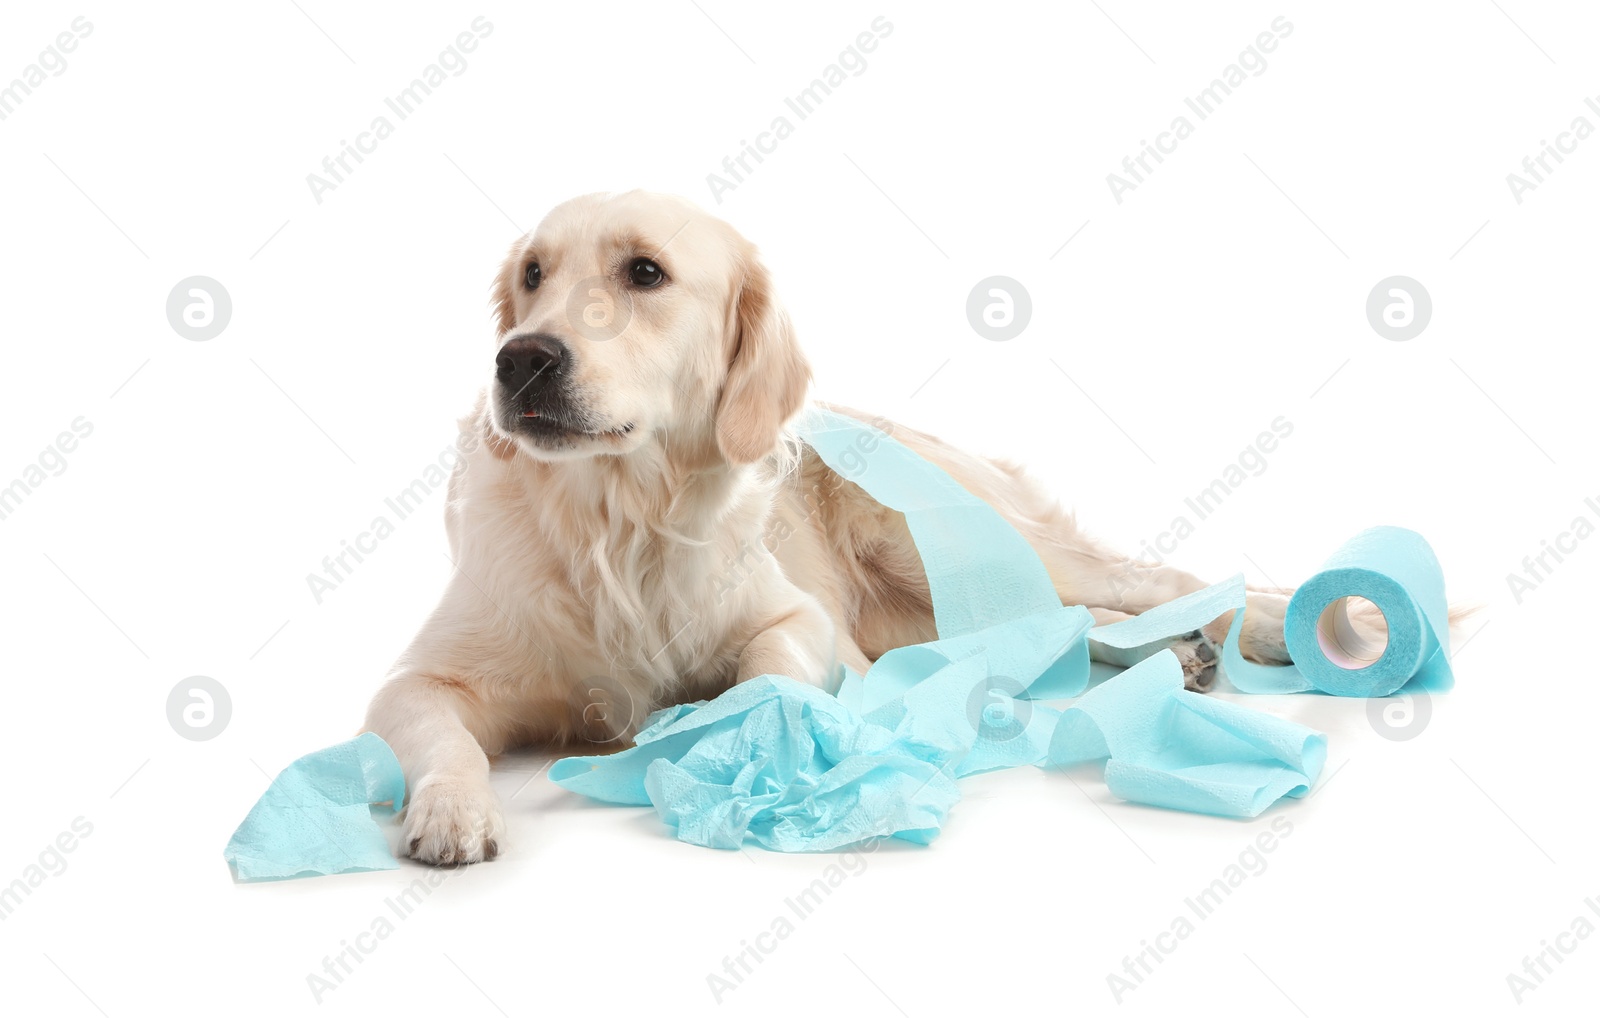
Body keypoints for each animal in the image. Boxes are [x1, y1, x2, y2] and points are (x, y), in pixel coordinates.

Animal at [368, 192, 1292, 864]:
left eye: (644, 272)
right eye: (533, 274)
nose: (520, 359)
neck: (618, 519)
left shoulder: (795, 616)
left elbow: (766, 673)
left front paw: (756, 746)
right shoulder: (418, 679)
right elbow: (442, 735)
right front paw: (453, 809)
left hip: (944, 549)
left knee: (1155, 581)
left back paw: (1280, 627)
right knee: (1057, 623)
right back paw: (1175, 651)